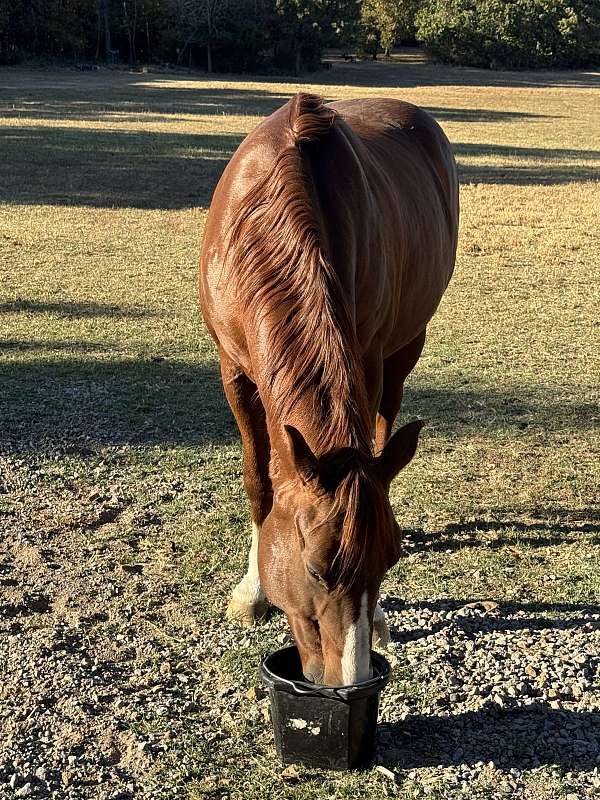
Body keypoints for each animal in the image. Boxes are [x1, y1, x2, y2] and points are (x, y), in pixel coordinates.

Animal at [202, 92, 460, 680]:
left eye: (390, 559)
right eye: (317, 570)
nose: (351, 680)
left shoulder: (365, 359)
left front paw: (382, 616)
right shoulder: (234, 372)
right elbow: (259, 482)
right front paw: (251, 592)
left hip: (405, 347)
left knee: (386, 427)